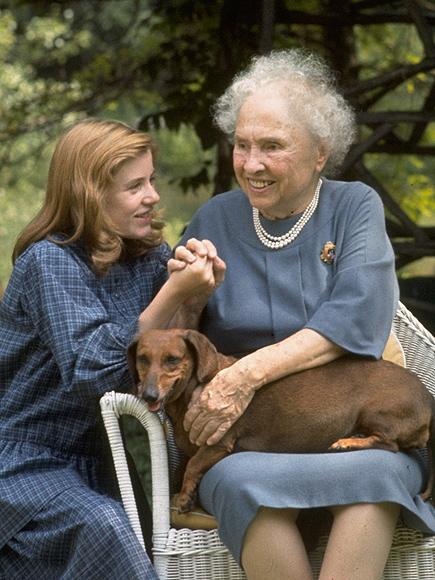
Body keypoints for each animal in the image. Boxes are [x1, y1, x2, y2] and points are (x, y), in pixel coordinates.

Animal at [127, 326, 435, 512]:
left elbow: (192, 466)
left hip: (374, 411)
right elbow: (182, 467)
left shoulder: (218, 444)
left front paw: (183, 498)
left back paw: (349, 442)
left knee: (389, 444)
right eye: (142, 358)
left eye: (172, 359)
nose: (148, 394)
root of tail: (428, 398)